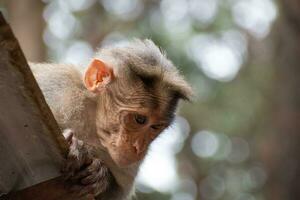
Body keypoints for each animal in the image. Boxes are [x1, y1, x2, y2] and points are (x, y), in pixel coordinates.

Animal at [29, 39, 192, 200]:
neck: (92, 117)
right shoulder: (59, 88)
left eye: (155, 127)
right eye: (140, 119)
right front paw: (78, 147)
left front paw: (100, 175)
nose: (139, 148)